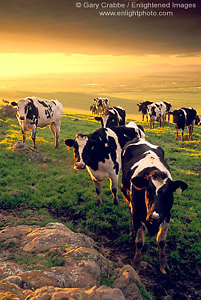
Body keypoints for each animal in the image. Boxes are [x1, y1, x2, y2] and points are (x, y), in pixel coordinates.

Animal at [121, 138, 188, 274]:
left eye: (167, 194)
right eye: (148, 192)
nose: (155, 217)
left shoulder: (167, 214)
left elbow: (161, 241)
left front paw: (163, 264)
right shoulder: (137, 213)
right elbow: (139, 241)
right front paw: (136, 263)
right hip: (128, 200)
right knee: (130, 212)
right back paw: (131, 230)